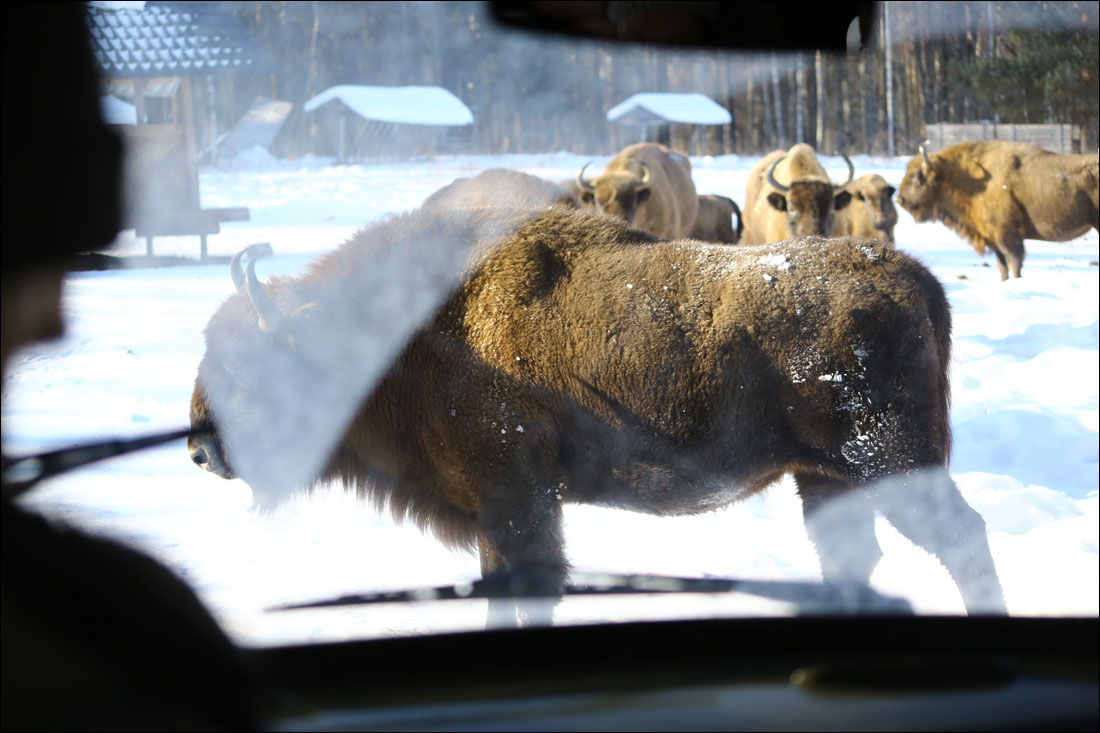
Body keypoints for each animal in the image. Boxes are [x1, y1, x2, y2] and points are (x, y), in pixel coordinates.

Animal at [187, 203, 1007, 616]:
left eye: (245, 364)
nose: (199, 448)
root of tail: (915, 279)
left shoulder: (518, 498)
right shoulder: (499, 510)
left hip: (891, 464)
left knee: (962, 539)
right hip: (826, 478)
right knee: (854, 557)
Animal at [897, 140, 1095, 279]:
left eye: (917, 175)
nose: (900, 200)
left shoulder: (1007, 236)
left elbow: (1014, 264)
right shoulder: (993, 239)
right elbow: (1003, 266)